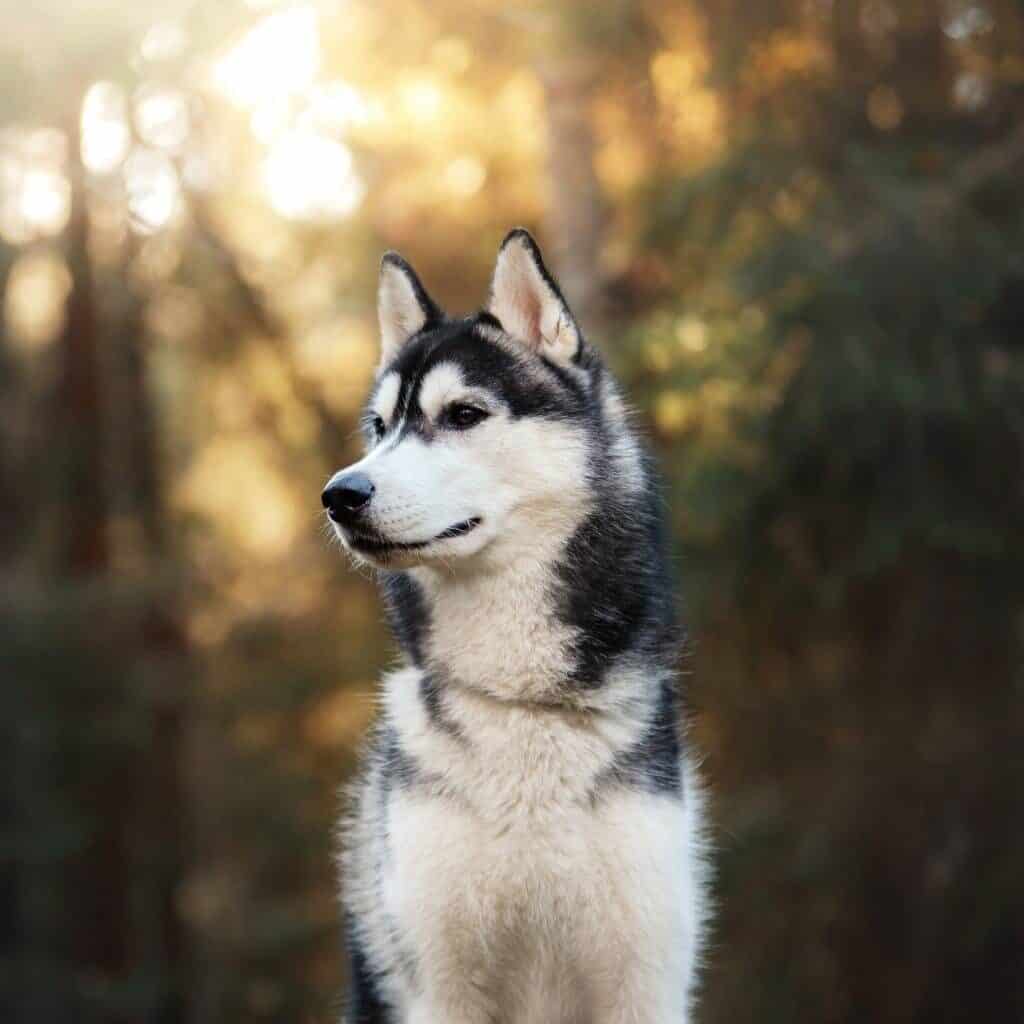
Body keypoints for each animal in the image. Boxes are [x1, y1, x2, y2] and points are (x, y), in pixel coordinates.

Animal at [323, 228, 708, 1019]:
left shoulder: (644, 978)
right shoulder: (440, 985)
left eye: (463, 415)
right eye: (379, 428)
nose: (340, 494)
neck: (522, 704)